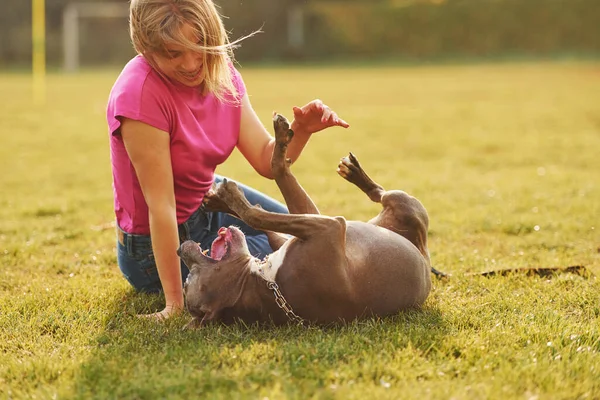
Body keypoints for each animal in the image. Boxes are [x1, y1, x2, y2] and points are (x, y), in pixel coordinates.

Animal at [178, 114, 432, 326]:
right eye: (188, 281)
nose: (181, 248)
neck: (266, 284)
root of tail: (426, 262)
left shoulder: (308, 226)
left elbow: (266, 206)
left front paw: (223, 200)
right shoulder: (329, 227)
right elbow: (259, 210)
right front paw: (232, 196)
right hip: (403, 201)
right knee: (380, 194)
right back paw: (358, 177)